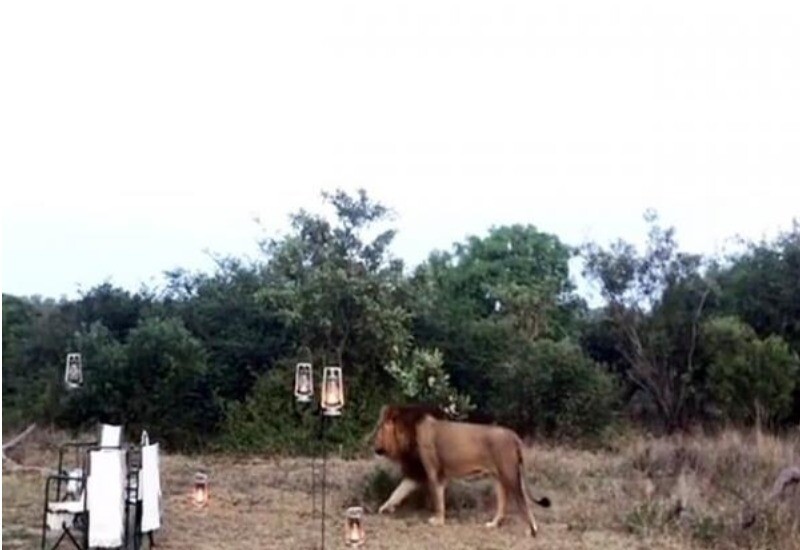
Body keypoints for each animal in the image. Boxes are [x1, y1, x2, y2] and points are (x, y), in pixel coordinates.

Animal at [374, 406, 552, 540]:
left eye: (379, 430)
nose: (375, 448)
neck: (410, 433)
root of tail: (514, 436)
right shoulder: (417, 473)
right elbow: (397, 491)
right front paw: (384, 508)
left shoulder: (433, 472)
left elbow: (437, 499)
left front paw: (438, 521)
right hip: (499, 478)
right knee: (503, 504)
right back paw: (493, 525)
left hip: (509, 475)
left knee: (523, 502)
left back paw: (531, 530)